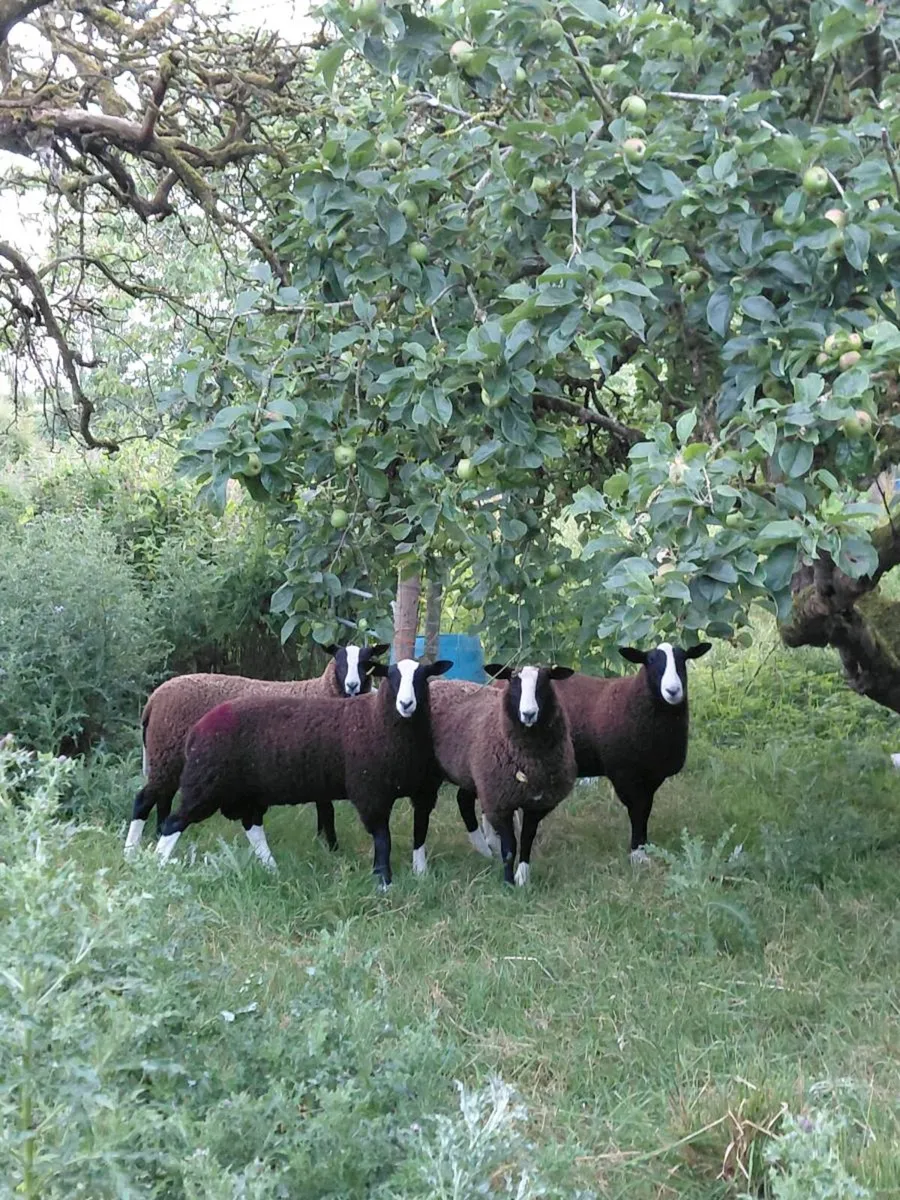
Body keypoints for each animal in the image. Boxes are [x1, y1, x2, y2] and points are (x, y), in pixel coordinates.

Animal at [123, 643, 389, 857]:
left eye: (367, 663)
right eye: (340, 661)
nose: (353, 685)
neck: (323, 690)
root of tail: (153, 700)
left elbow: (324, 810)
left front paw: (324, 844)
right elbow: (327, 811)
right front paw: (332, 849)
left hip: (169, 758)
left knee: (163, 799)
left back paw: (157, 836)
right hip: (168, 754)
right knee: (144, 800)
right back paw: (131, 850)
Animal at [154, 656, 453, 887]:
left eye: (423, 677)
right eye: (391, 676)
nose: (406, 704)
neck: (378, 720)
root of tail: (196, 731)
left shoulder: (424, 792)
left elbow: (420, 832)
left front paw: (421, 873)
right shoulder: (370, 791)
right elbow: (383, 839)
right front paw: (384, 882)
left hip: (241, 791)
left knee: (252, 825)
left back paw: (272, 870)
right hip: (206, 784)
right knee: (174, 822)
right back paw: (156, 864)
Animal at [423, 664, 576, 886]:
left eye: (544, 682)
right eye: (513, 683)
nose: (528, 714)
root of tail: (436, 683)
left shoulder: (537, 804)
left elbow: (527, 839)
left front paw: (522, 878)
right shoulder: (499, 802)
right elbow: (510, 845)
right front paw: (508, 882)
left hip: (473, 774)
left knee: (463, 799)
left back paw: (485, 850)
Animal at [481, 641, 712, 864]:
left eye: (683, 660)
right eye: (651, 661)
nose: (673, 690)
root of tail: (497, 682)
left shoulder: (652, 774)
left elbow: (645, 810)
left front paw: (644, 848)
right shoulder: (624, 773)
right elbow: (637, 810)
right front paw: (637, 854)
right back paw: (491, 845)